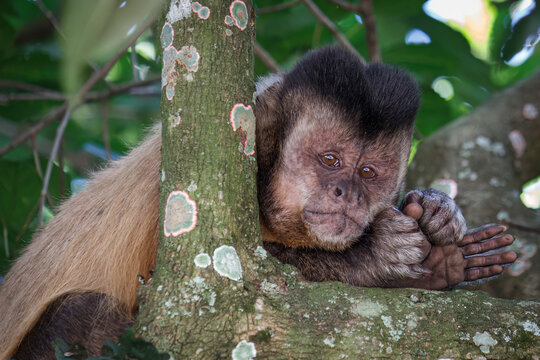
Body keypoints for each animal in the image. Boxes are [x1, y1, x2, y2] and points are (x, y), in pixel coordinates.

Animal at [0, 46, 516, 358]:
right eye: (330, 160)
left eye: (368, 173)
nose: (347, 193)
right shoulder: (186, 174)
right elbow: (190, 282)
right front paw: (375, 257)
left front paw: (440, 228)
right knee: (81, 312)